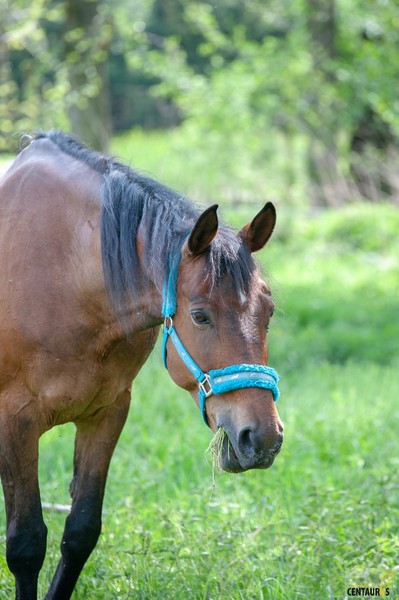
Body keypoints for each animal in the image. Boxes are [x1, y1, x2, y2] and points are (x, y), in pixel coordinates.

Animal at [0, 132, 284, 600]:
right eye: (200, 316)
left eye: (269, 311)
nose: (261, 439)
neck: (66, 275)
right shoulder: (14, 423)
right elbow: (25, 544)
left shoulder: (107, 413)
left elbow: (80, 531)